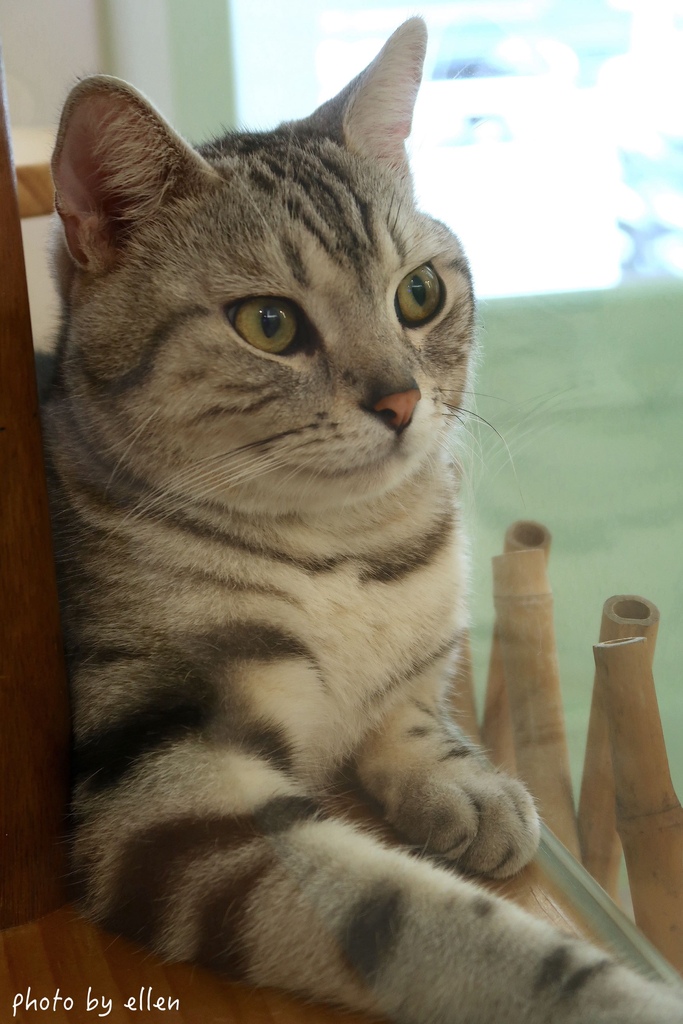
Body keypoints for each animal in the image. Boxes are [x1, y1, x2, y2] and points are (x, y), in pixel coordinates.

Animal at [42, 16, 683, 1024]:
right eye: (268, 323)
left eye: (418, 294)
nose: (400, 399)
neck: (347, 551)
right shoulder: (165, 793)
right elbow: (434, 925)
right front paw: (605, 993)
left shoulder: (411, 667)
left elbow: (413, 711)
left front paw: (466, 783)